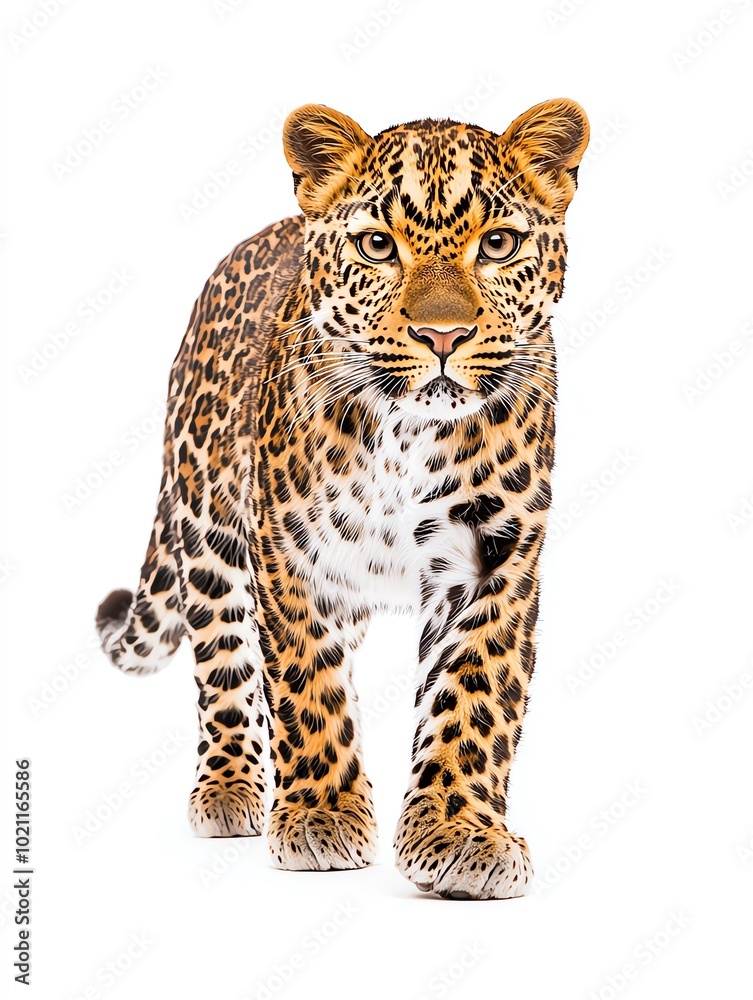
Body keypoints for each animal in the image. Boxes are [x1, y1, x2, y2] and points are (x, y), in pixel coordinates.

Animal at [96, 98, 589, 899]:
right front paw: (321, 816)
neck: (408, 431)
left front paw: (461, 833)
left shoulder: (494, 559)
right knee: (225, 665)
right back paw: (229, 789)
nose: (443, 335)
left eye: (499, 243)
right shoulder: (292, 558)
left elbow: (470, 696)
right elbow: (306, 686)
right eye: (377, 245)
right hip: (206, 524)